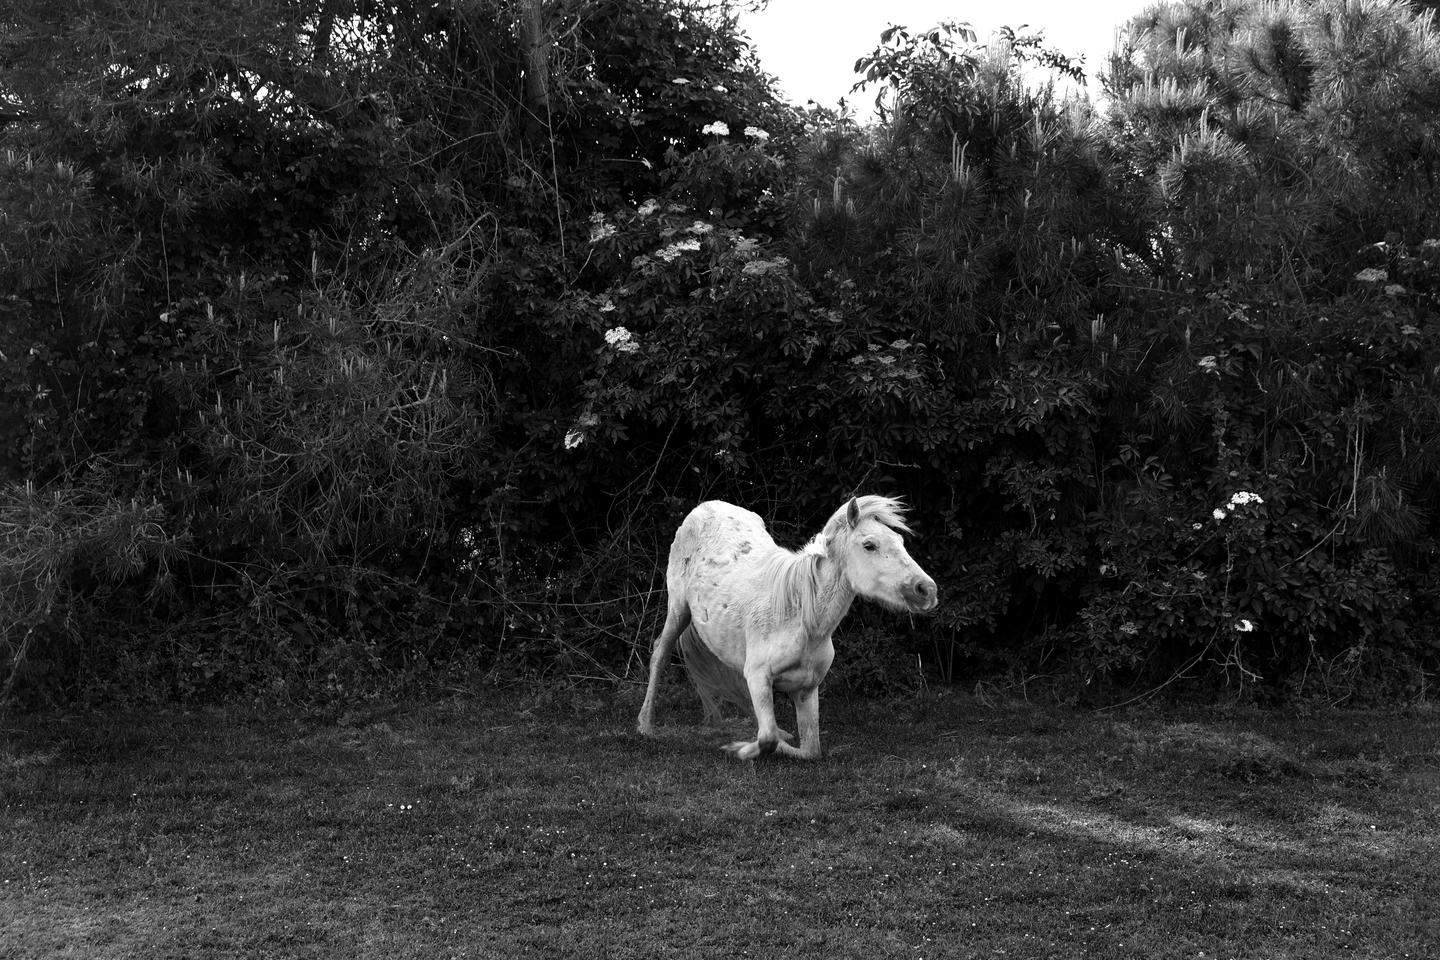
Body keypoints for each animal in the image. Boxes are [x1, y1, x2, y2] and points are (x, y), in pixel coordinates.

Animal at [635, 495, 938, 760]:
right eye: (869, 545)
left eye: (900, 541)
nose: (926, 590)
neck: (801, 620)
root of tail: (704, 508)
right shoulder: (759, 676)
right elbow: (767, 738)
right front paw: (737, 749)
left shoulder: (806, 689)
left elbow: (810, 750)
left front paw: (770, 740)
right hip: (678, 609)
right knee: (660, 654)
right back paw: (645, 725)